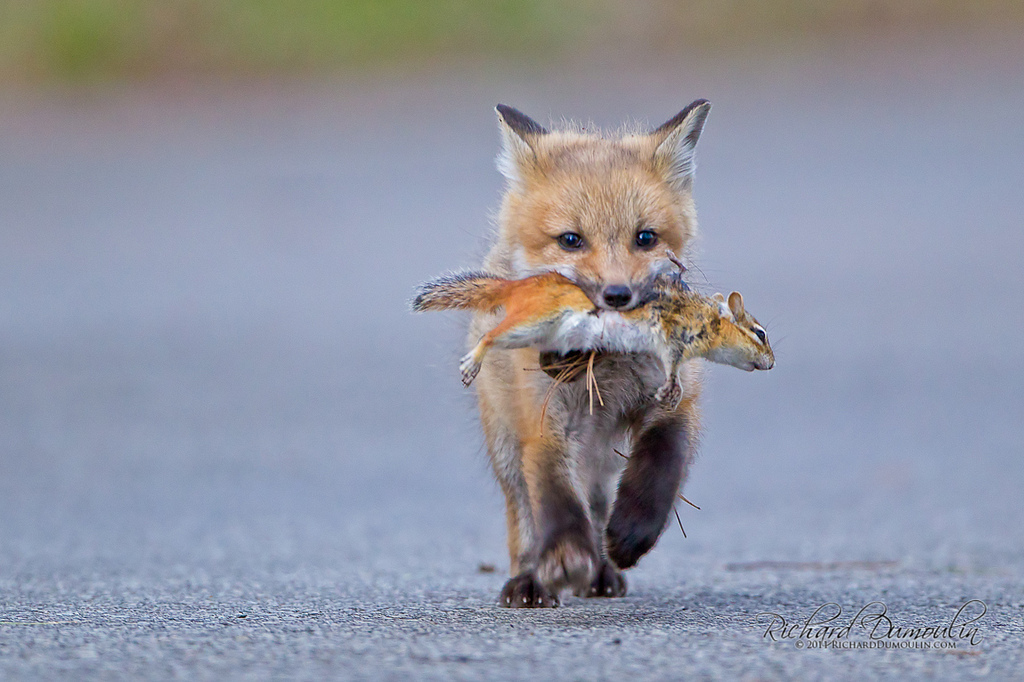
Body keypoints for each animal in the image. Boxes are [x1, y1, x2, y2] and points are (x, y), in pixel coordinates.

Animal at [411, 266, 770, 403]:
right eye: (760, 333)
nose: (773, 363)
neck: (706, 316)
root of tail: (516, 286)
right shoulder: (672, 337)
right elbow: (672, 366)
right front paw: (672, 390)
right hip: (529, 322)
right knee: (488, 336)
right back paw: (471, 364)